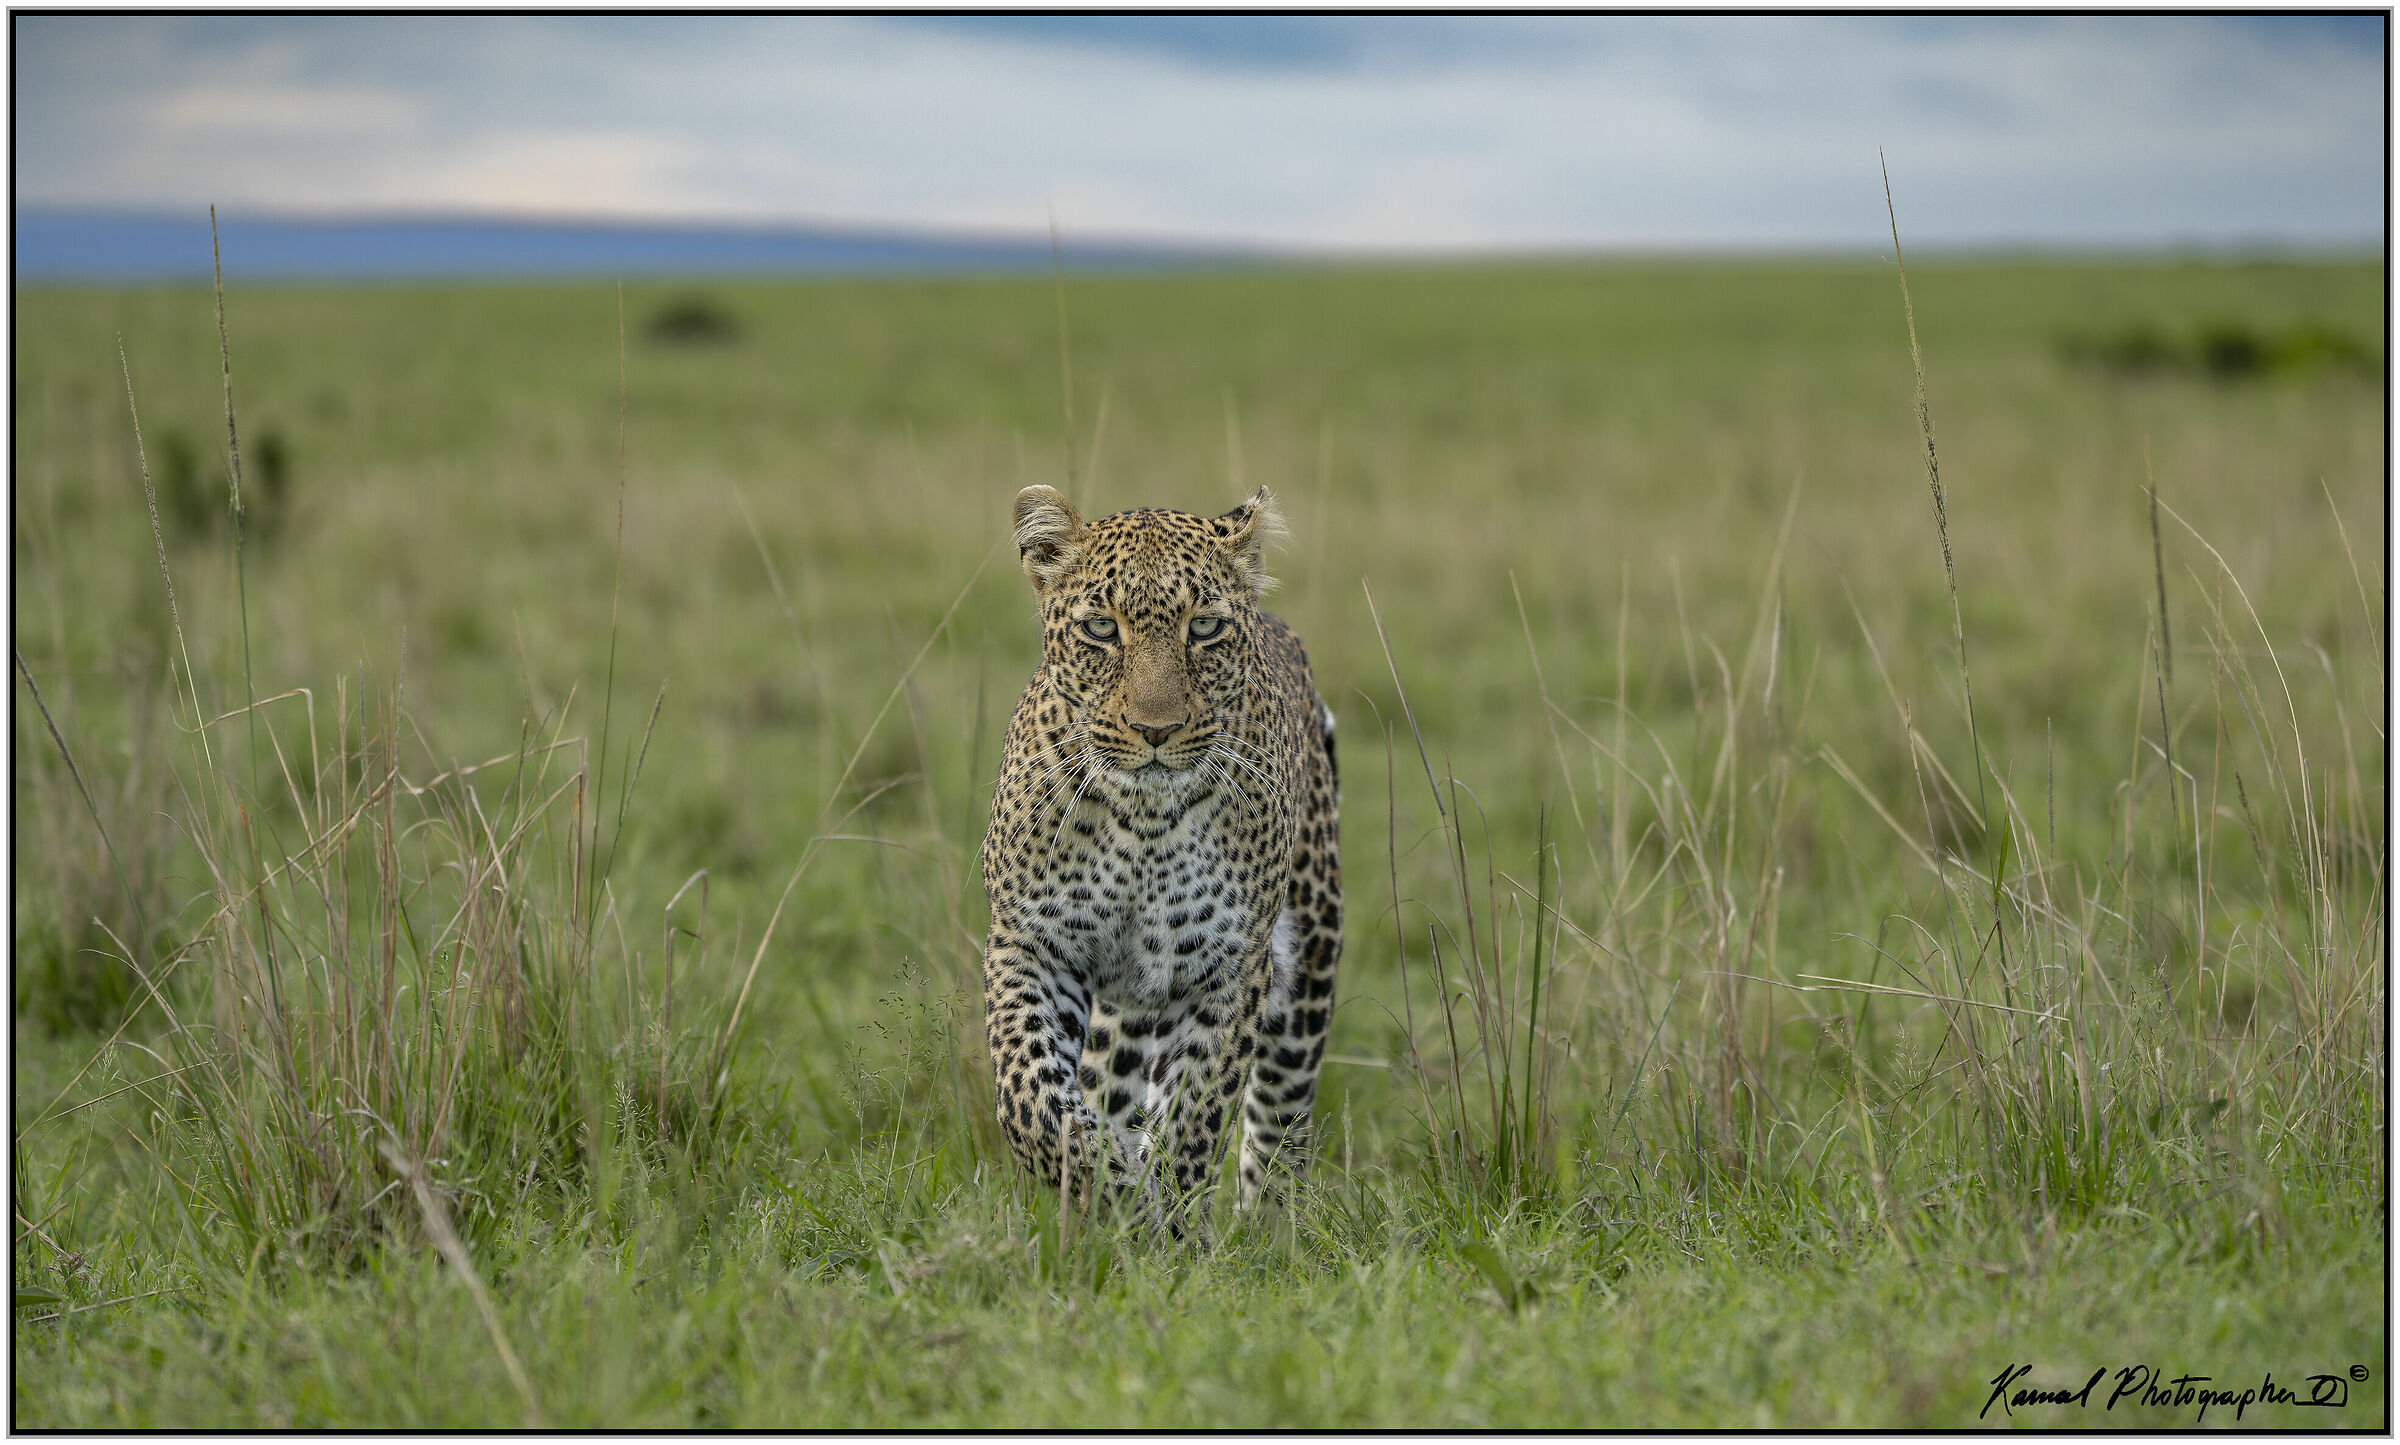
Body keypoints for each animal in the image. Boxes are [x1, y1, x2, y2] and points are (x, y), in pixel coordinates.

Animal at [978, 482, 1341, 1238]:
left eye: (1203, 628)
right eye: (1100, 629)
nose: (1155, 730)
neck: (1142, 822)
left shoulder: (1230, 970)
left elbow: (1196, 1118)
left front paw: (1169, 1228)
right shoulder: (1030, 943)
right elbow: (1032, 1102)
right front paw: (1114, 1196)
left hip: (1310, 961)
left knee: (1278, 1123)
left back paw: (1267, 1233)